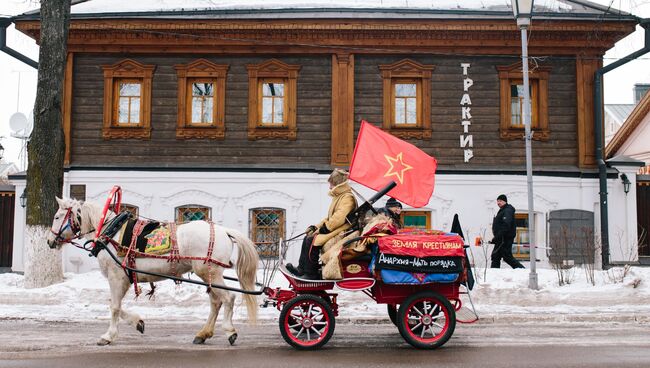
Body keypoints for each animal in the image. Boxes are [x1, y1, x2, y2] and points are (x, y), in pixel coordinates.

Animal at [46, 197, 258, 346]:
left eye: (57, 217)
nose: (49, 241)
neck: (111, 232)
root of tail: (224, 231)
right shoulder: (124, 278)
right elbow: (114, 305)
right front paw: (137, 322)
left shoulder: (116, 277)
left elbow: (114, 307)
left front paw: (108, 336)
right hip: (209, 276)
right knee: (216, 302)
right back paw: (203, 334)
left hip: (209, 273)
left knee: (228, 298)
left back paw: (230, 331)